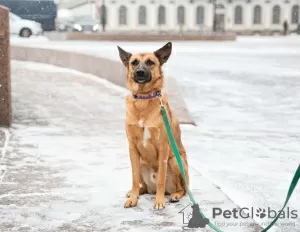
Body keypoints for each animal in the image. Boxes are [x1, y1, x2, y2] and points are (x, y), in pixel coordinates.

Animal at [118, 42, 190, 210]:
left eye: (150, 62)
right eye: (134, 62)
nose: (140, 72)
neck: (143, 100)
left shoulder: (163, 148)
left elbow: (161, 180)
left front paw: (159, 201)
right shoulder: (132, 148)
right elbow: (133, 178)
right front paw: (133, 198)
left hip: (175, 161)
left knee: (182, 189)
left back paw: (175, 195)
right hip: (141, 163)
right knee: (142, 185)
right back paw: (135, 192)